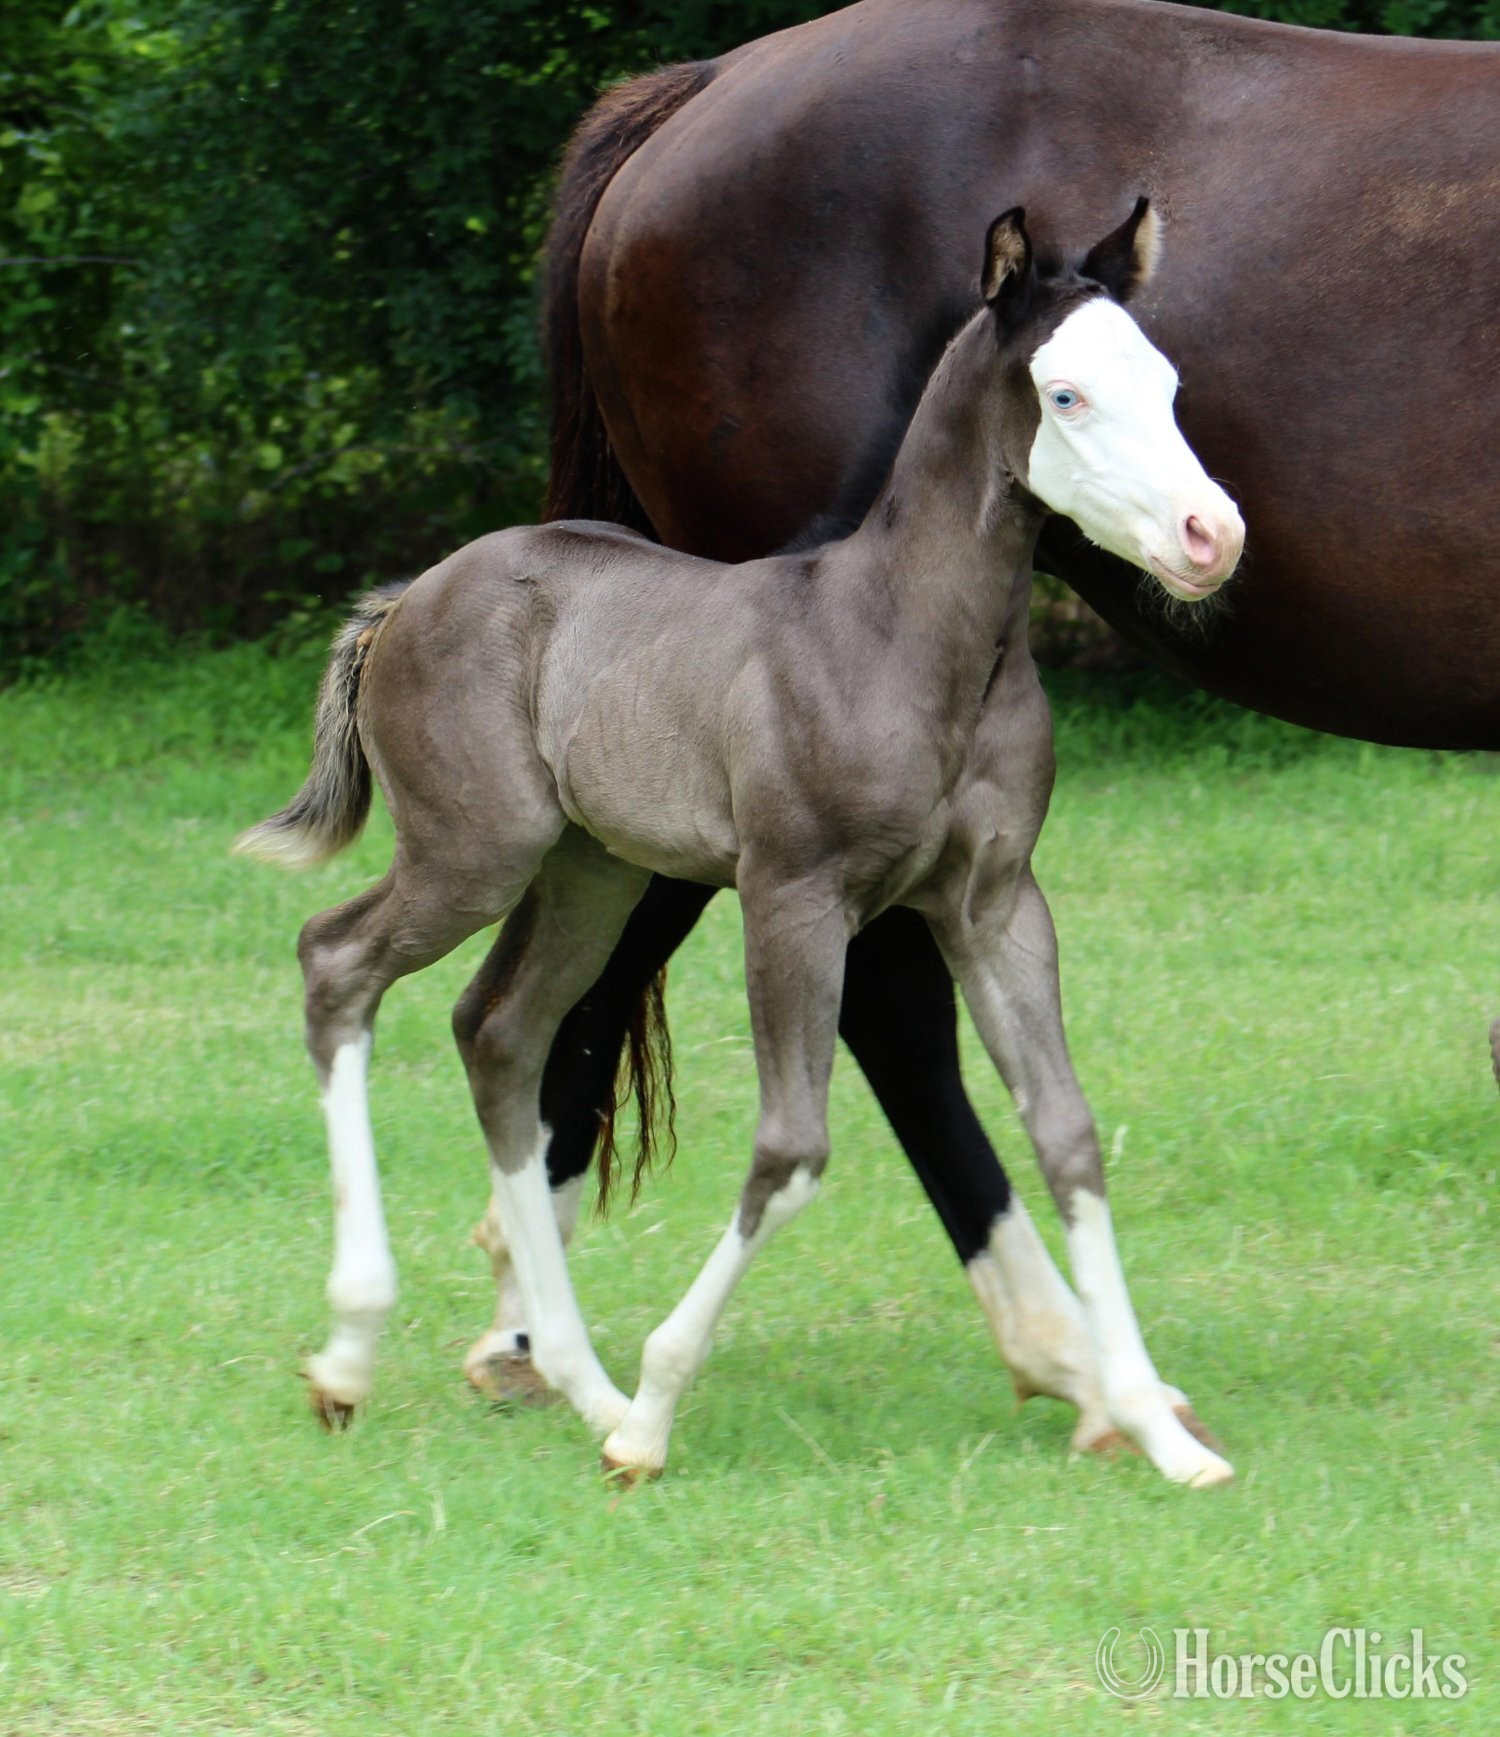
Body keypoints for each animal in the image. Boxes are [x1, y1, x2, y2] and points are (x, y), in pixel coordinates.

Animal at [239, 204, 1242, 1485]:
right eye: (1064, 394)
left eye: (1166, 383)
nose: (1211, 536)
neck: (910, 642)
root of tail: (407, 596)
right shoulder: (794, 896)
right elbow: (792, 1146)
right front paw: (658, 1417)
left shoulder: (997, 902)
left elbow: (1065, 1133)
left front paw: (1159, 1430)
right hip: (476, 851)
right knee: (338, 963)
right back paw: (358, 1354)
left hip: (593, 871)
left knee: (499, 1030)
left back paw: (577, 1381)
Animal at [487, 0, 1498, 1441]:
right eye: (1063, 393)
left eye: (1170, 382)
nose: (1216, 532)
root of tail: (705, 85)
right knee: (877, 1008)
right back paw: (1069, 1355)